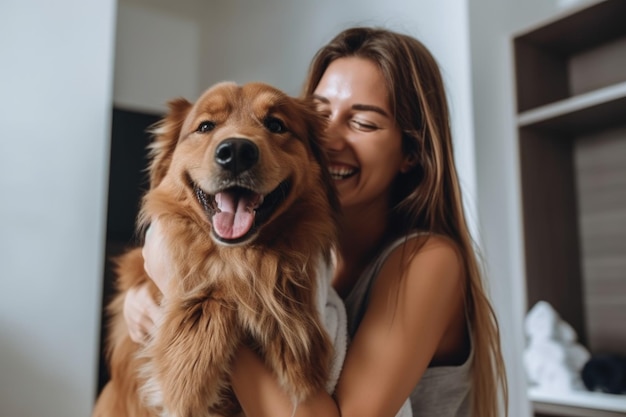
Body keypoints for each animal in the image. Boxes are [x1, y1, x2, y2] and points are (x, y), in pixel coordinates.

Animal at [93, 81, 338, 416]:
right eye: (206, 126)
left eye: (276, 125)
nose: (235, 152)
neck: (239, 252)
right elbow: (212, 287)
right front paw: (185, 378)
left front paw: (299, 350)